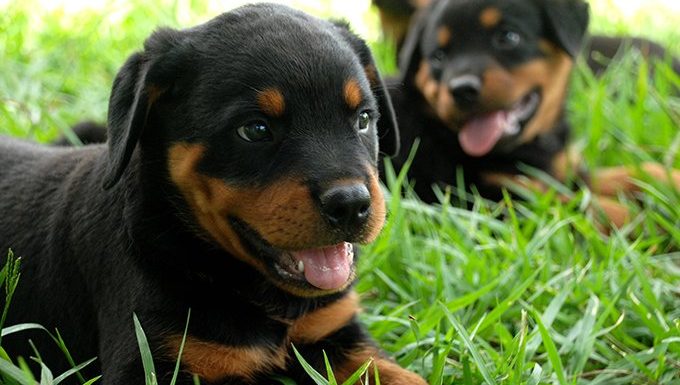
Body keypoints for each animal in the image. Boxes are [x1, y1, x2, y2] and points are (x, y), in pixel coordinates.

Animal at [0, 3, 424, 384]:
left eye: (364, 119)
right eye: (255, 129)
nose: (351, 204)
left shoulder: (338, 332)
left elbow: (404, 376)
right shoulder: (152, 356)